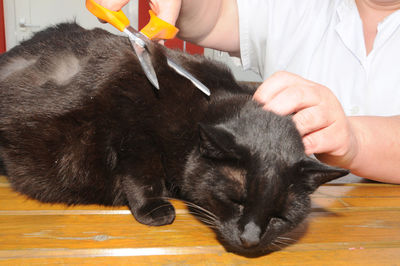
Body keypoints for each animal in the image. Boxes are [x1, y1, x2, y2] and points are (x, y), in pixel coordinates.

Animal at [0, 23, 346, 256]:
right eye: (236, 200)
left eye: (280, 216)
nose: (250, 239)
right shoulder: (133, 128)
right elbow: (143, 172)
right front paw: (154, 209)